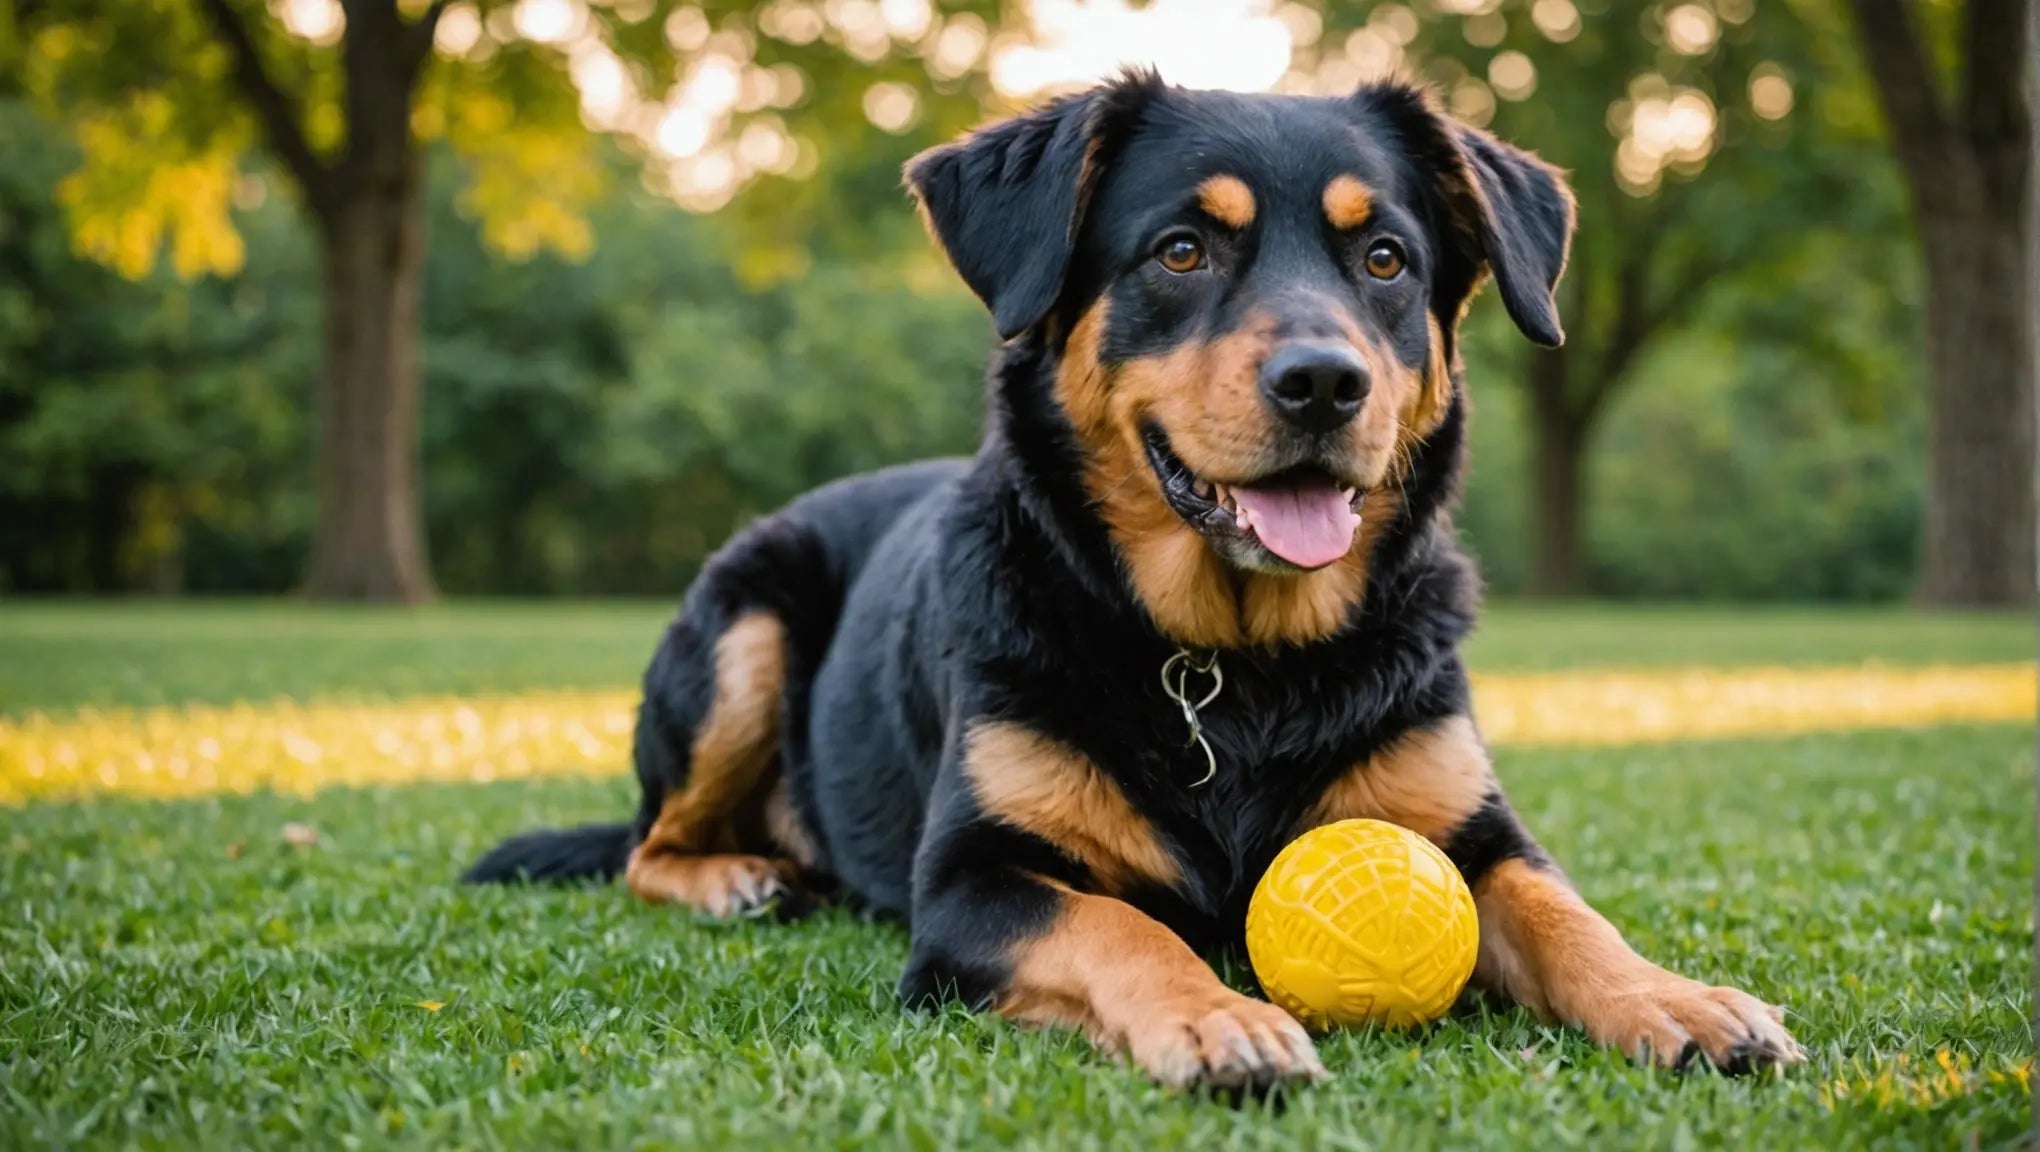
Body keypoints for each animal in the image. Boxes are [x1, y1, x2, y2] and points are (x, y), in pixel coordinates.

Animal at [469, 71, 1811, 1084]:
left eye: (1385, 258)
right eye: (1180, 249)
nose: (1325, 384)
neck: (1236, 664)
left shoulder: (1472, 829)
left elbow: (1562, 911)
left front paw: (1678, 998)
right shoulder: (974, 880)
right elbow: (1117, 923)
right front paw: (1217, 1017)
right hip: (745, 624)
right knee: (648, 844)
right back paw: (738, 877)